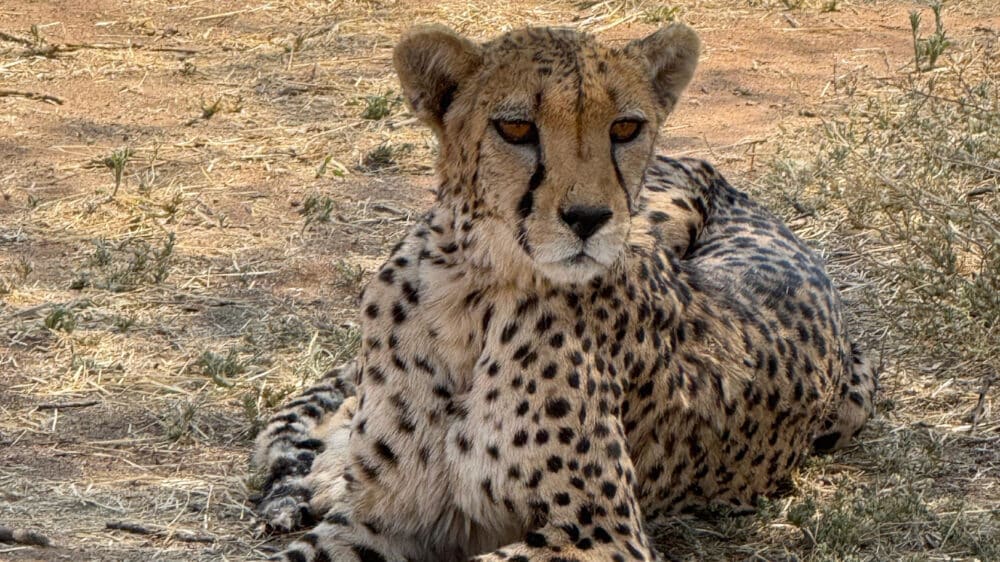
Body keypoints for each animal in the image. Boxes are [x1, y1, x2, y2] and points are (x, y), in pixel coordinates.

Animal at [250, 23, 877, 562]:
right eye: (516, 128)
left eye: (625, 128)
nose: (588, 218)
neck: (471, 292)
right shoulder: (382, 519)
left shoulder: (603, 533)